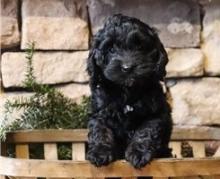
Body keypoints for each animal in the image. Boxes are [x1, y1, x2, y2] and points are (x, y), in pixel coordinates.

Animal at [86, 14, 172, 169]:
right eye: (111, 49)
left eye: (140, 47)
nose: (127, 67)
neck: (126, 91)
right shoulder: (99, 112)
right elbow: (100, 130)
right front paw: (99, 153)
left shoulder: (156, 113)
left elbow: (145, 131)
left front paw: (138, 153)